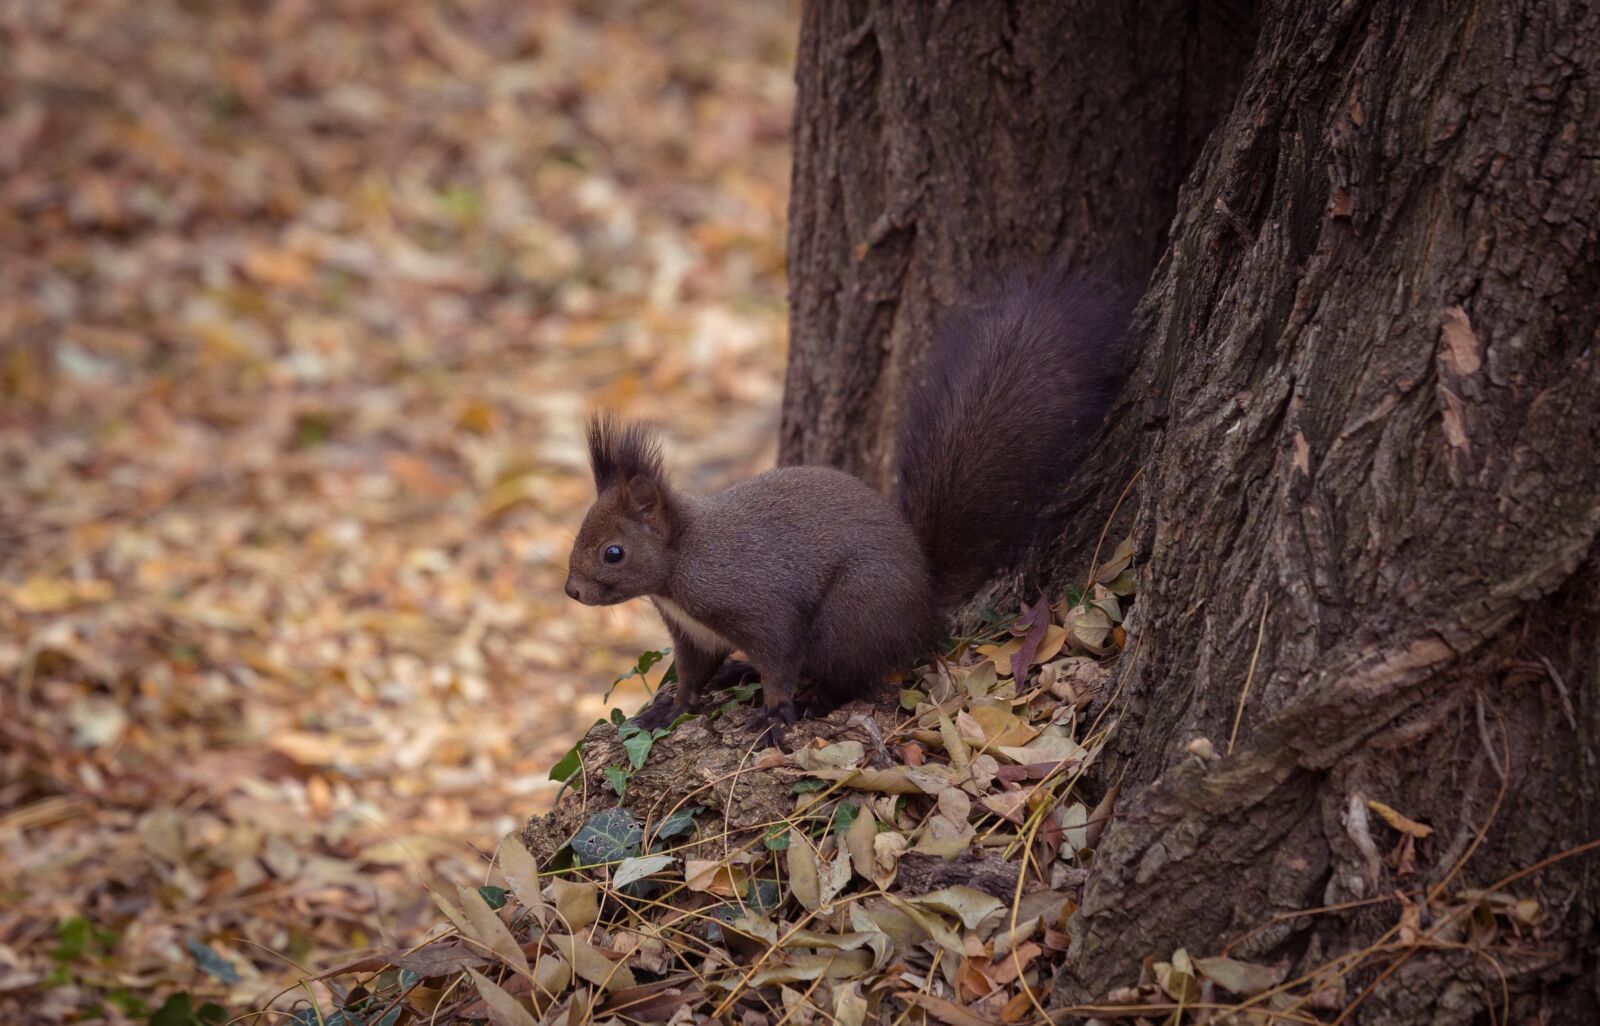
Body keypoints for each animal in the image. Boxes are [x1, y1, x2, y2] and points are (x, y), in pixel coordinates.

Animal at [569, 268, 1132, 739]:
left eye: (613, 553)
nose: (572, 592)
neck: (682, 563)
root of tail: (924, 604)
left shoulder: (757, 604)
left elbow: (778, 660)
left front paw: (774, 712)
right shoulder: (692, 635)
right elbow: (691, 677)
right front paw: (670, 708)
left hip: (852, 614)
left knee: (849, 675)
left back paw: (813, 698)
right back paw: (742, 670)